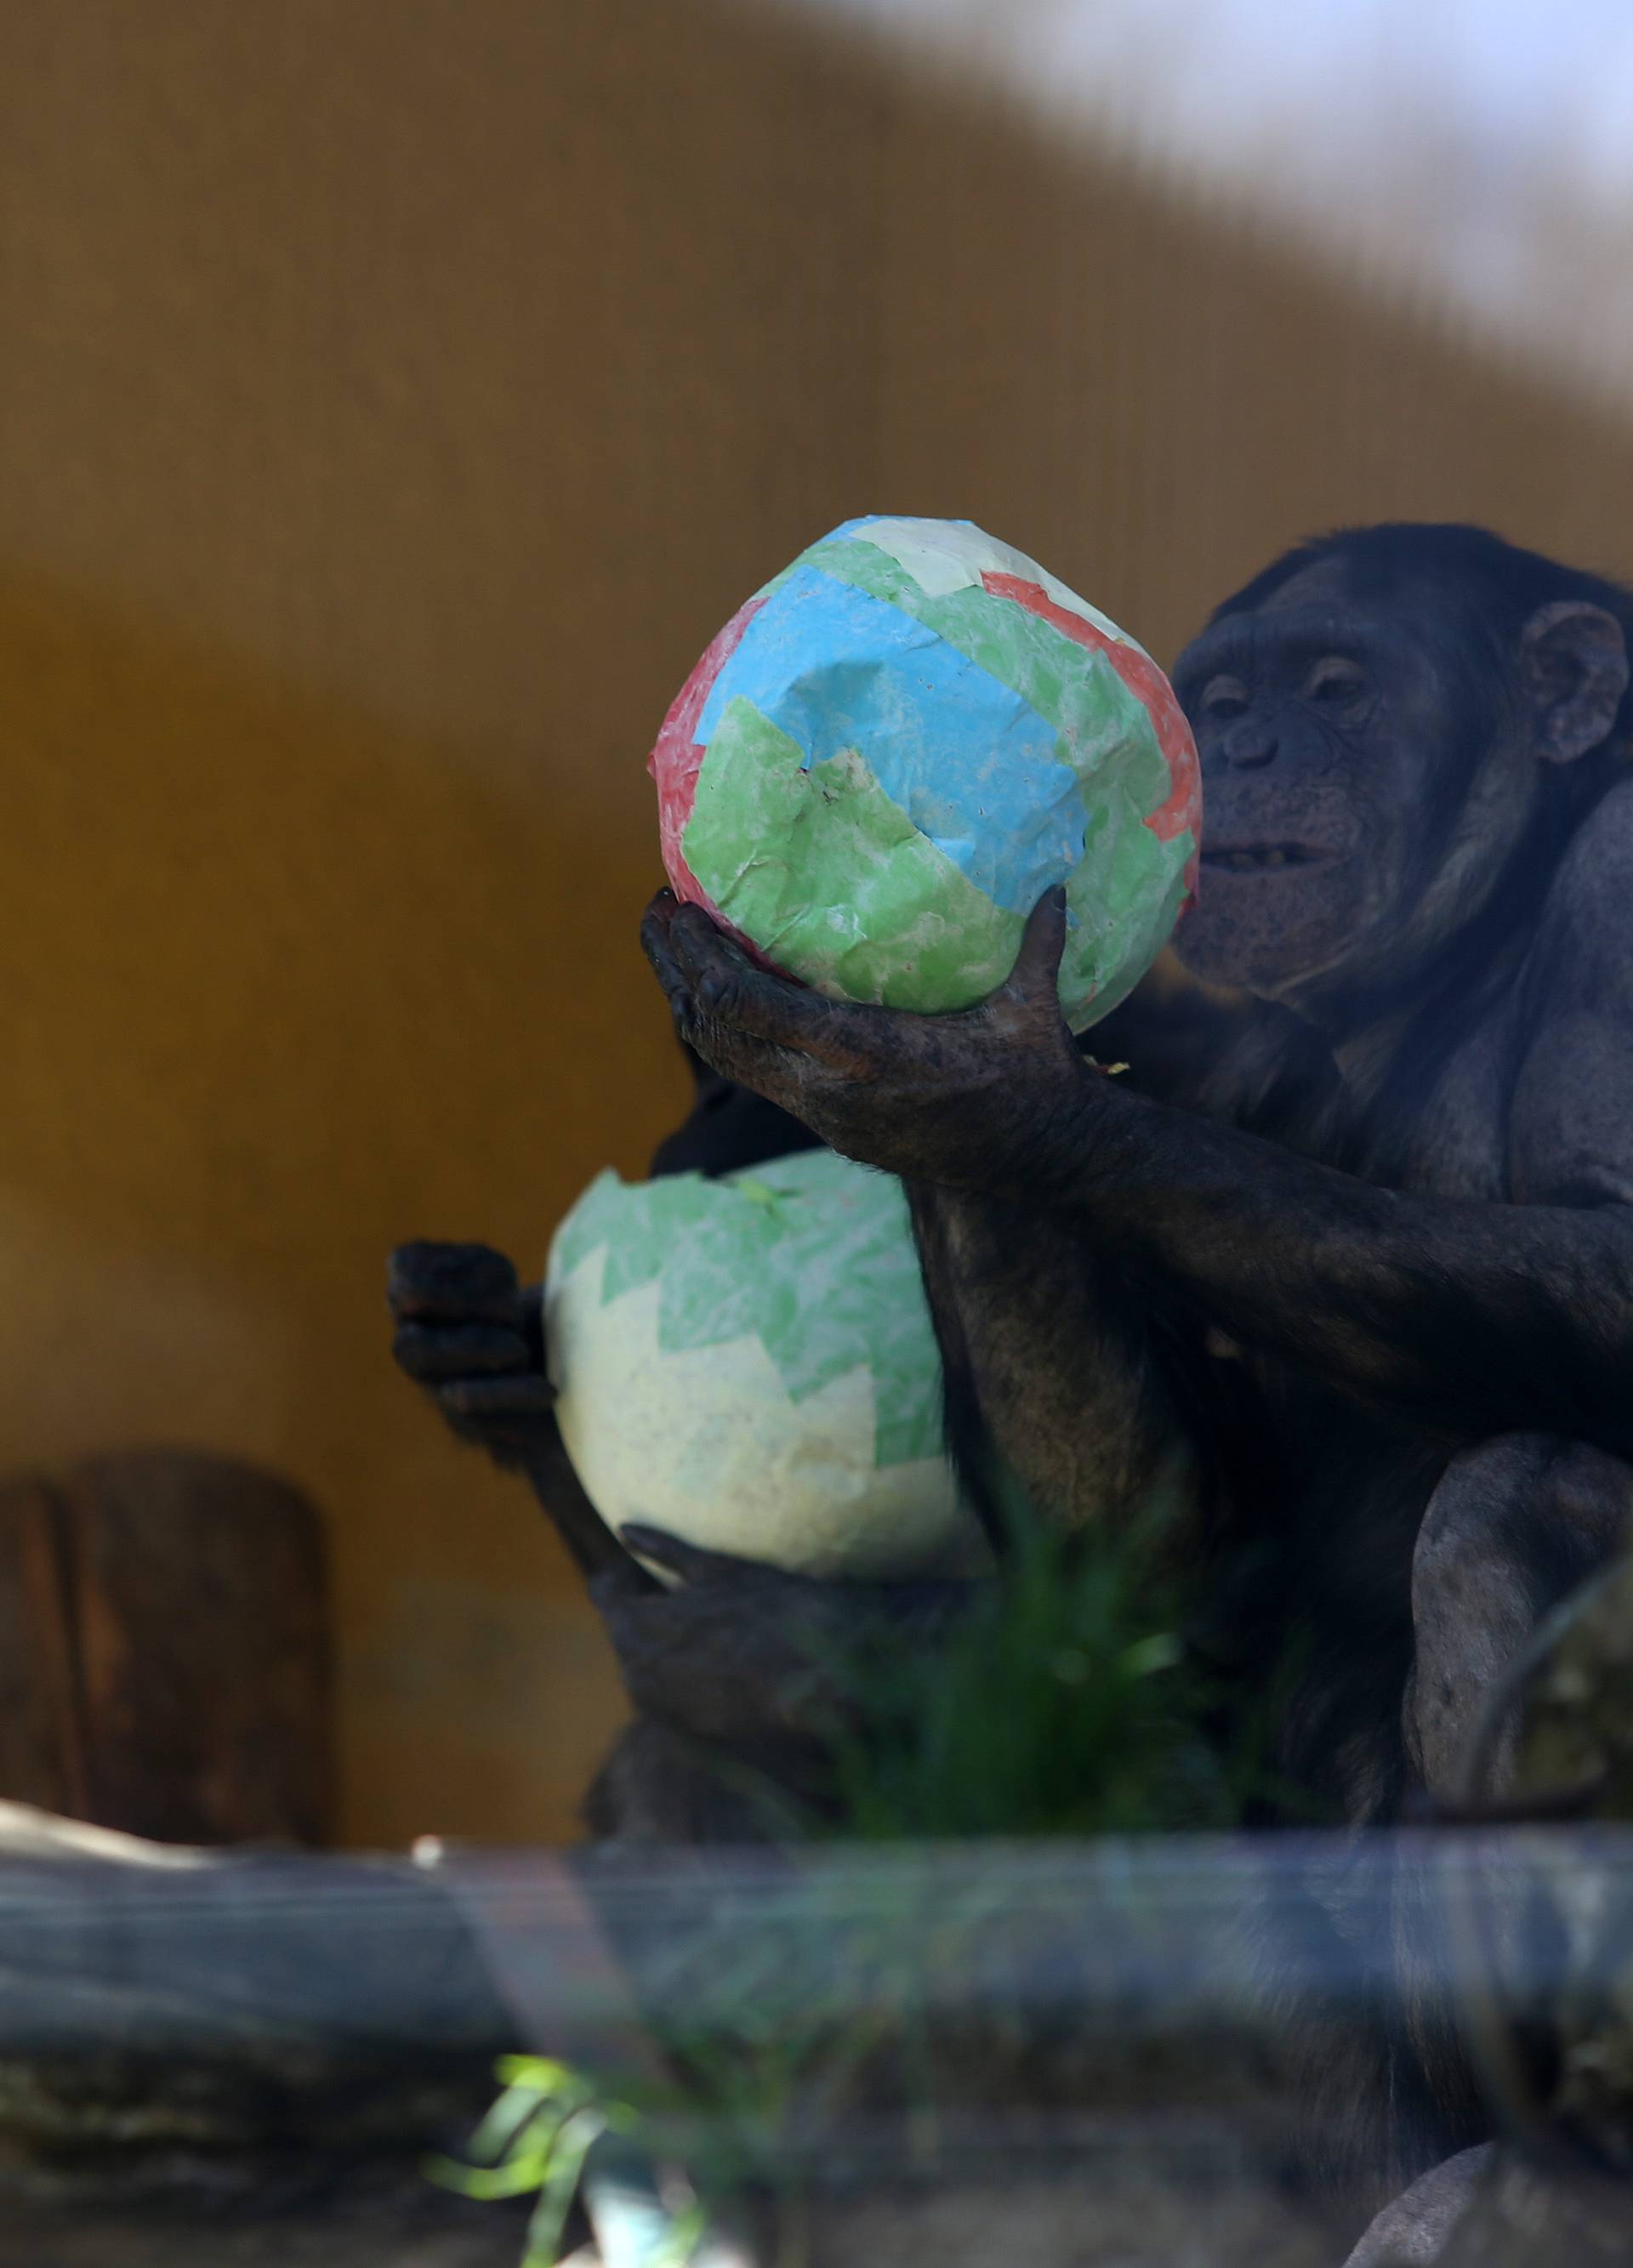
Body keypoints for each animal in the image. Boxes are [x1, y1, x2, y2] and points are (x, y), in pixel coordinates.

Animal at [392, 526, 1633, 2231]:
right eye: (1228, 697)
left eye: (1336, 687)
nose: (1252, 749)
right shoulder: (1240, 1069)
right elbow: (1160, 1550)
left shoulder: (1616, 878)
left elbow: (1609, 1268)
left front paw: (970, 1091)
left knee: (1514, 1500)